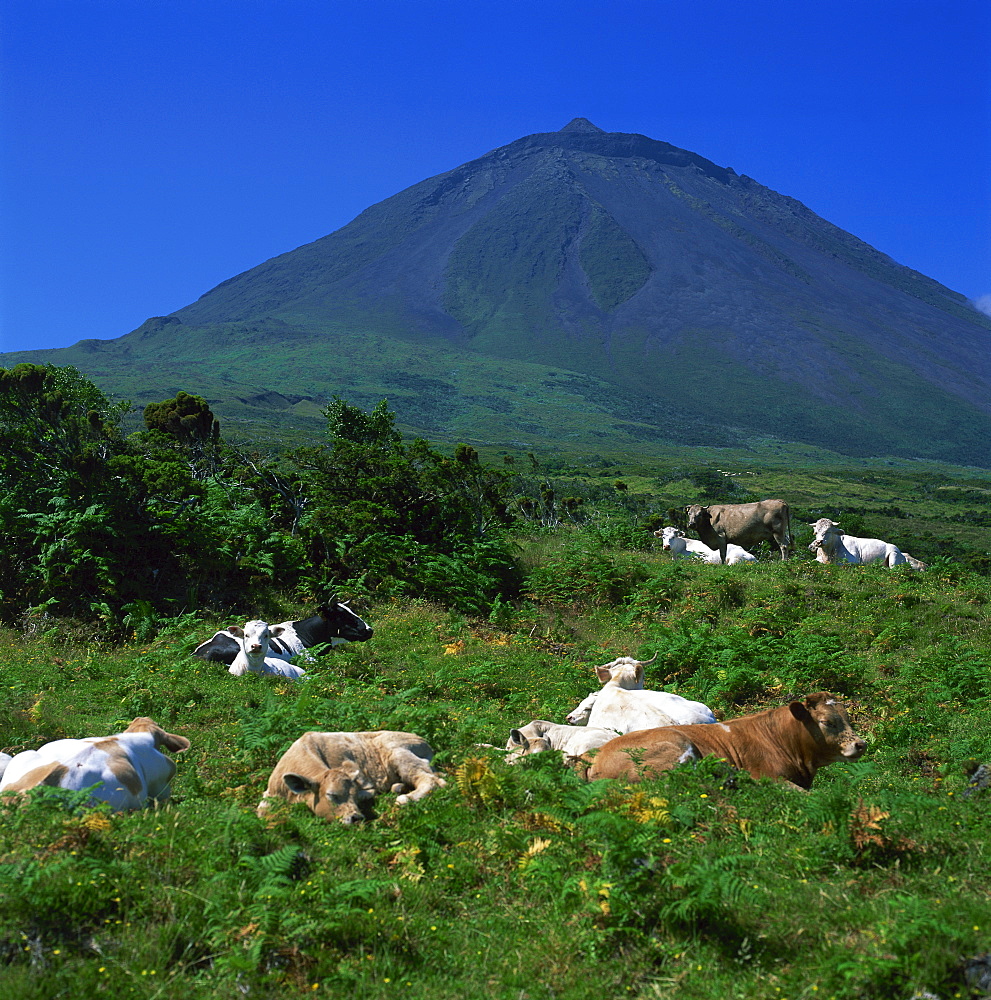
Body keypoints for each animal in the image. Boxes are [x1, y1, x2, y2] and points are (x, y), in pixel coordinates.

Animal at [256, 732, 446, 824]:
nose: (356, 818)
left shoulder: (365, 784)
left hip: (398, 753)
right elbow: (261, 814)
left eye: (353, 797)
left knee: (433, 780)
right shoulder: (269, 794)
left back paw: (406, 797)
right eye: (331, 795)